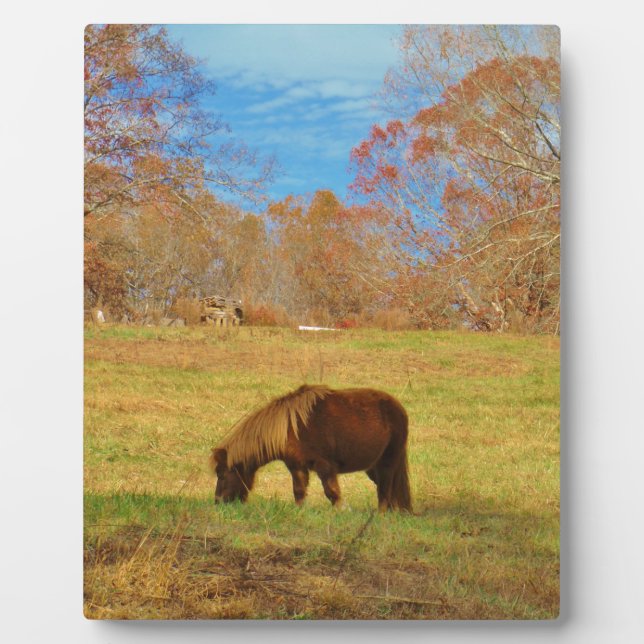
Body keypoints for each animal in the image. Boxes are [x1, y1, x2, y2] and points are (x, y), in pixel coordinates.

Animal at [210, 384, 412, 512]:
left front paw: (340, 511)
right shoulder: (297, 467)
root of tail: (399, 408)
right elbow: (299, 492)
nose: (218, 502)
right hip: (372, 467)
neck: (290, 428)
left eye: (222, 474)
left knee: (385, 491)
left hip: (388, 462)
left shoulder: (325, 466)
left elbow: (332, 493)